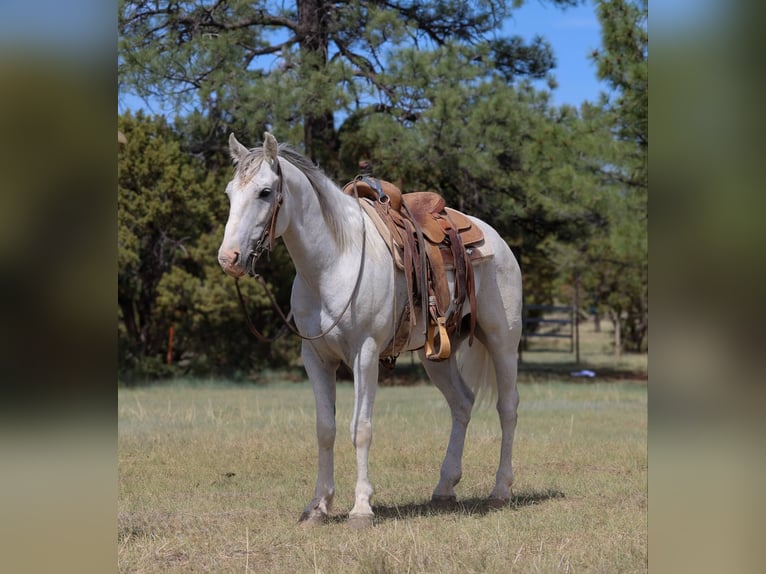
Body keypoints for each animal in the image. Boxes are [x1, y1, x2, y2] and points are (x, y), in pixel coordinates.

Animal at [218, 132, 522, 528]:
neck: (334, 261)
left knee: (508, 407)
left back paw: (501, 489)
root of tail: (493, 238)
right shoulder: (315, 357)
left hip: (503, 341)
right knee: (462, 403)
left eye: (265, 192)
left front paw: (361, 507)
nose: (229, 258)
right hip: (438, 354)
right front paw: (318, 506)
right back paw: (444, 487)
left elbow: (360, 429)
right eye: (229, 193)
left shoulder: (366, 353)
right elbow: (325, 429)